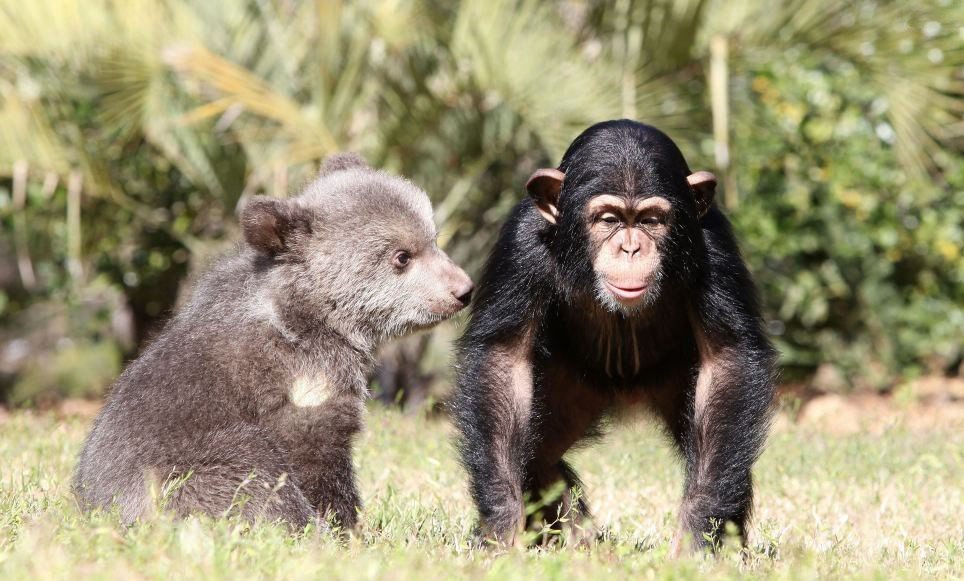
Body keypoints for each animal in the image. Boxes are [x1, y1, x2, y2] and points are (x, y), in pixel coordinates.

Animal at [452, 119, 776, 552]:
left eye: (652, 220)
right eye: (608, 219)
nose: (630, 247)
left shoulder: (715, 242)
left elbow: (727, 358)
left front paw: (697, 535)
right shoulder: (521, 243)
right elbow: (502, 359)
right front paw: (501, 528)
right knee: (538, 453)